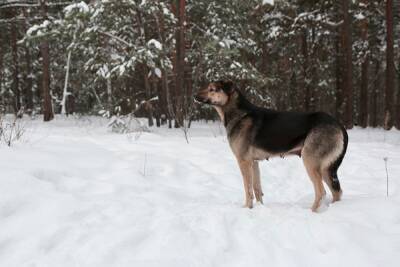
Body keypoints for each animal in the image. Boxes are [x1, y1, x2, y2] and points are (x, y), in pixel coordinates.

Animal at [194, 80, 346, 213]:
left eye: (212, 89)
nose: (194, 96)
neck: (238, 114)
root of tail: (338, 124)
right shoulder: (254, 163)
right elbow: (257, 190)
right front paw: (258, 208)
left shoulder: (244, 162)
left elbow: (247, 189)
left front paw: (246, 209)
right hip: (326, 169)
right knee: (336, 192)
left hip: (310, 162)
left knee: (321, 192)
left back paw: (311, 212)